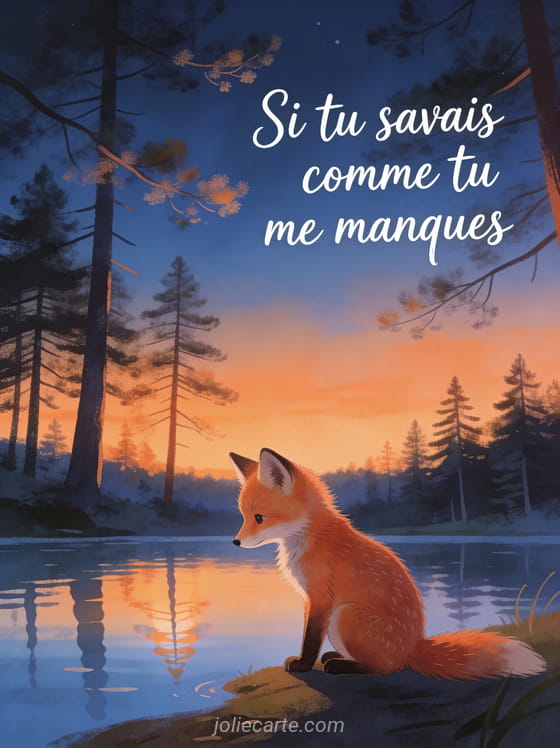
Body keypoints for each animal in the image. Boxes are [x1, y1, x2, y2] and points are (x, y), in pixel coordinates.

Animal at [230, 448, 546, 679]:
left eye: (259, 518)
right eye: (243, 516)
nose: (235, 542)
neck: (313, 537)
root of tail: (412, 647)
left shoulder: (320, 598)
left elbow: (310, 639)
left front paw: (303, 665)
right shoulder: (309, 599)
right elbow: (308, 633)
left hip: (343, 615)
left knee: (385, 667)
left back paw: (341, 665)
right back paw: (337, 657)